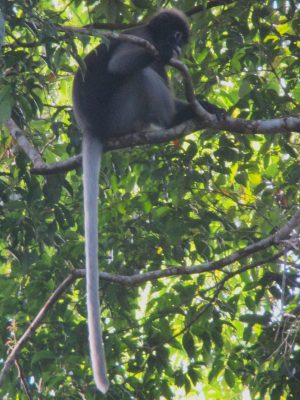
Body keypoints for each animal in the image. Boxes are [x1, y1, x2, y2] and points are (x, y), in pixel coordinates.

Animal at [72, 7, 223, 392]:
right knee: (142, 75)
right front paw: (166, 56)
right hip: (120, 116)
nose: (176, 44)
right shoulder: (140, 38)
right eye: (174, 35)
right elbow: (120, 66)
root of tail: (91, 127)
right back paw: (171, 117)